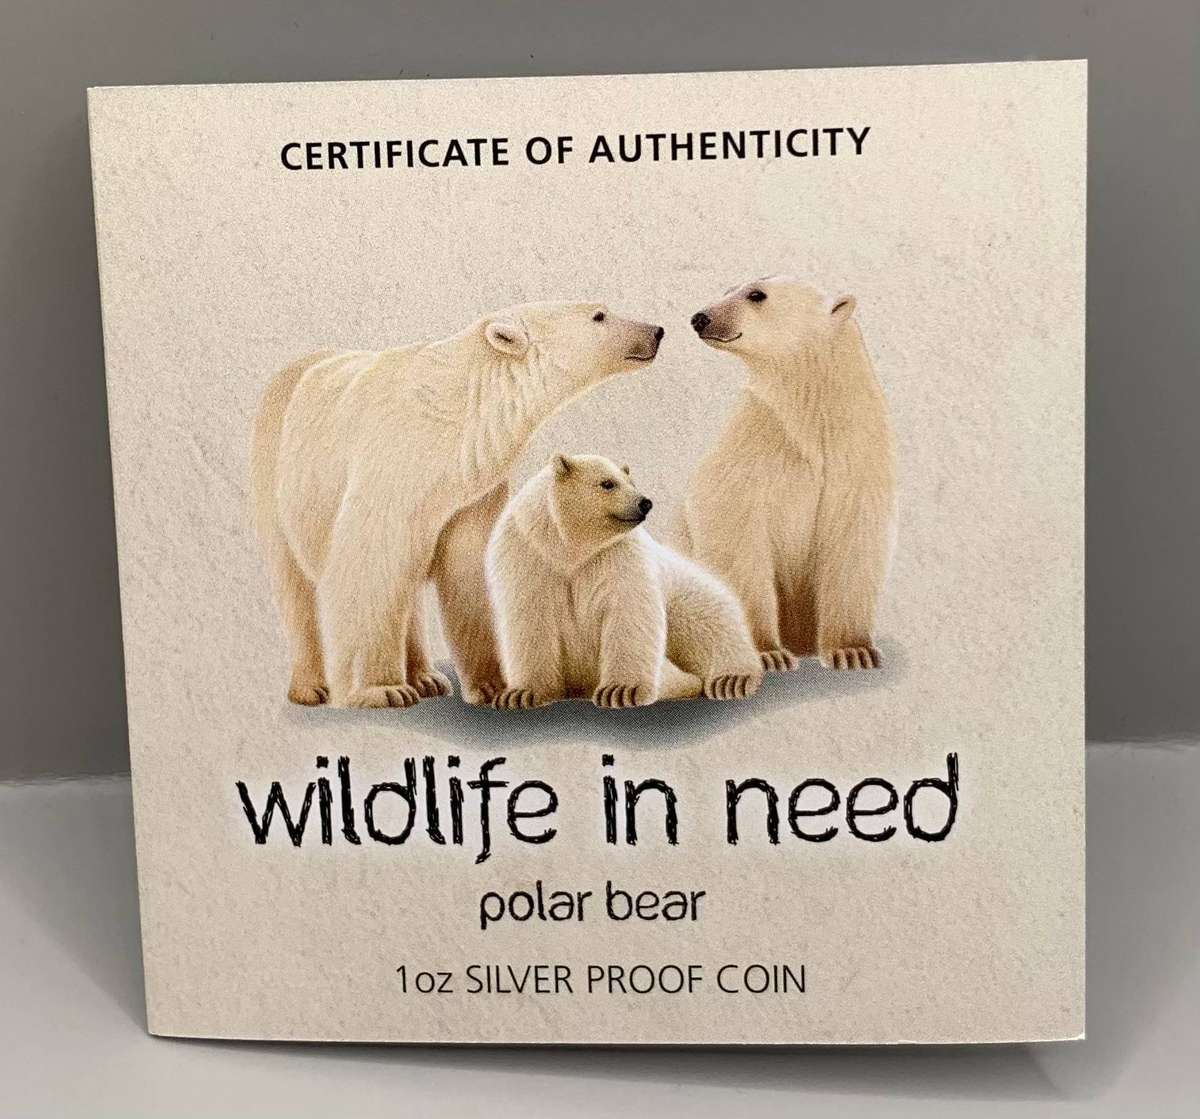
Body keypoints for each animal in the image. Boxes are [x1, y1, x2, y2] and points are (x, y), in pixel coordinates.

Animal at [250, 301, 664, 708]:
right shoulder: (392, 462)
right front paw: (381, 689)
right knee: (294, 582)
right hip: (275, 463)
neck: (458, 412)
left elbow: (466, 569)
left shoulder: (471, 490)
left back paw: (426, 678)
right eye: (599, 315)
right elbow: (370, 563)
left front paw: (494, 687)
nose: (657, 331)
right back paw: (311, 687)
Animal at [485, 453, 763, 710]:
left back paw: (728, 679)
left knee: (709, 621)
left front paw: (621, 691)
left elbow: (628, 611)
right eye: (607, 483)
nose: (645, 502)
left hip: (684, 591)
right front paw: (521, 694)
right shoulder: (529, 555)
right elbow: (530, 619)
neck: (568, 550)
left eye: (631, 481)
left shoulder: (617, 556)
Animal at [683, 276, 895, 672]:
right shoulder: (756, 443)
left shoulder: (855, 454)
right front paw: (767, 653)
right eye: (726, 291)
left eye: (756, 294)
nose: (700, 318)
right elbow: (735, 527)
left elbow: (853, 538)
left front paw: (853, 651)